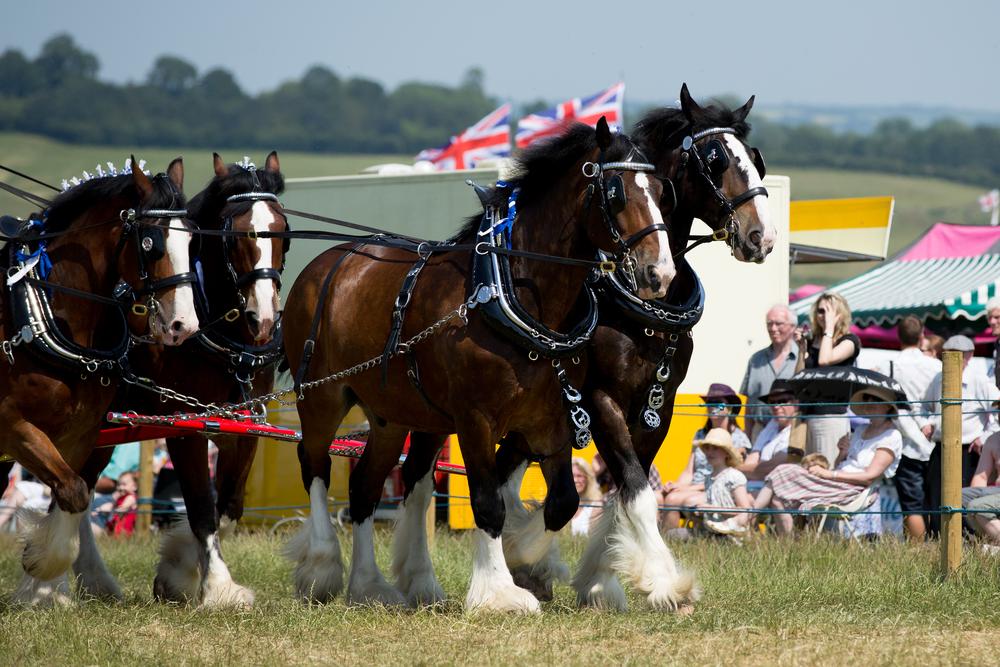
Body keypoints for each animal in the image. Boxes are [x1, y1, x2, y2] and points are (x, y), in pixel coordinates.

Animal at [0, 158, 199, 604]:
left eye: (192, 240)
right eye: (151, 243)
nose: (184, 325)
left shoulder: (80, 433)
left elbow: (73, 493)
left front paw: (42, 568)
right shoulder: (12, 424)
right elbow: (73, 491)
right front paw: (42, 569)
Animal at [67, 154, 290, 608]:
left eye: (283, 232)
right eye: (234, 235)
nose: (262, 321)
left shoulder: (243, 423)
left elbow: (228, 502)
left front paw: (180, 569)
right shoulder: (185, 422)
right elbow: (202, 504)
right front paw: (215, 586)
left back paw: (92, 578)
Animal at [282, 118, 672, 612]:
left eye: (661, 190)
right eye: (616, 191)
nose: (660, 273)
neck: (512, 291)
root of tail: (327, 262)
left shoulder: (553, 420)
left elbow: (563, 502)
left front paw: (525, 559)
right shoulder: (475, 421)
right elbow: (488, 502)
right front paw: (498, 590)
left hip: (391, 416)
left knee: (364, 488)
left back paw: (369, 586)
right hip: (322, 396)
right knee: (313, 464)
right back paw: (322, 568)